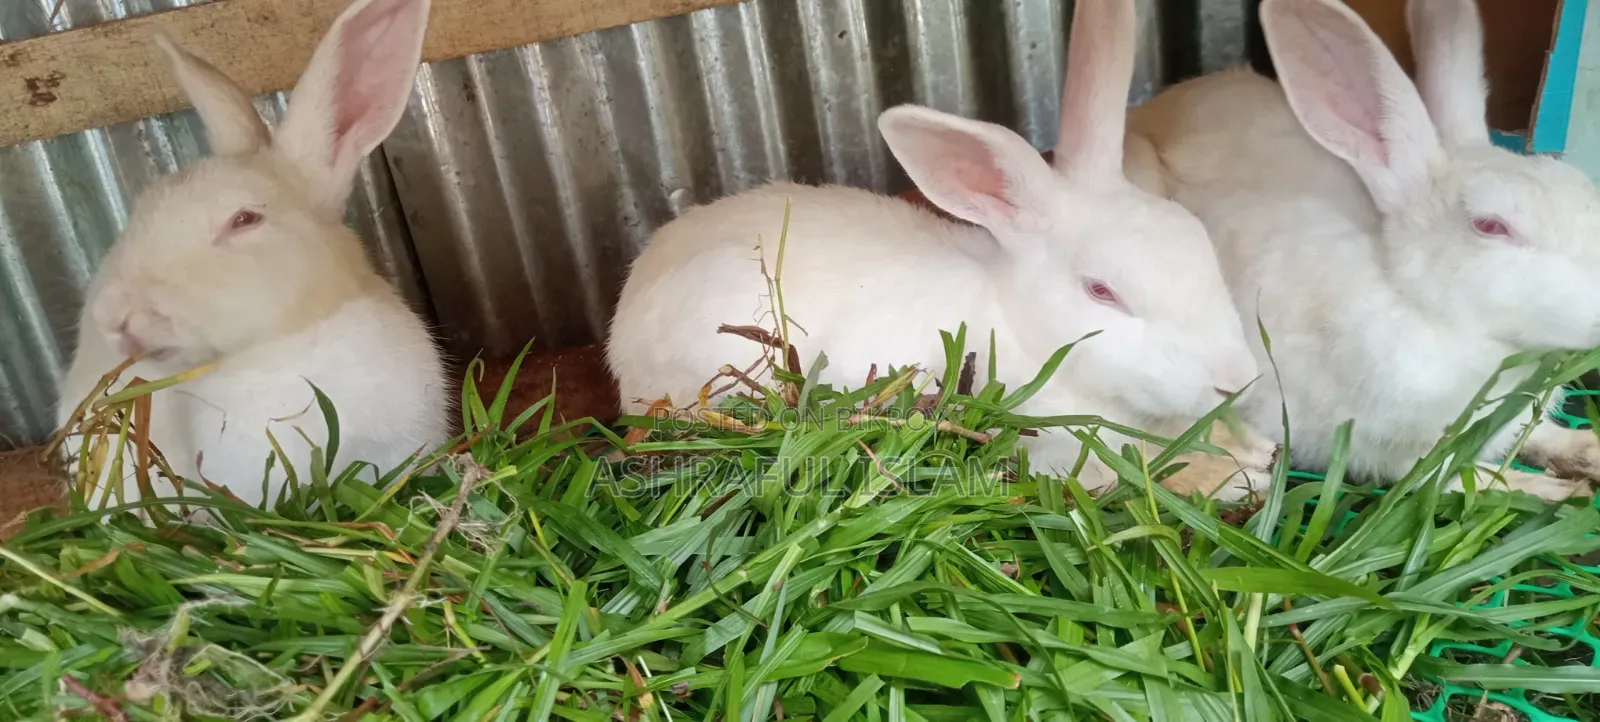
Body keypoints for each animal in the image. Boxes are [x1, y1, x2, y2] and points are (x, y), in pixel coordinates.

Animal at [1122, 0, 1600, 500]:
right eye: (1491, 226)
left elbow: (1538, 435)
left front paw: (1588, 453)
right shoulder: (1406, 457)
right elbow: (1467, 479)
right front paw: (1560, 492)